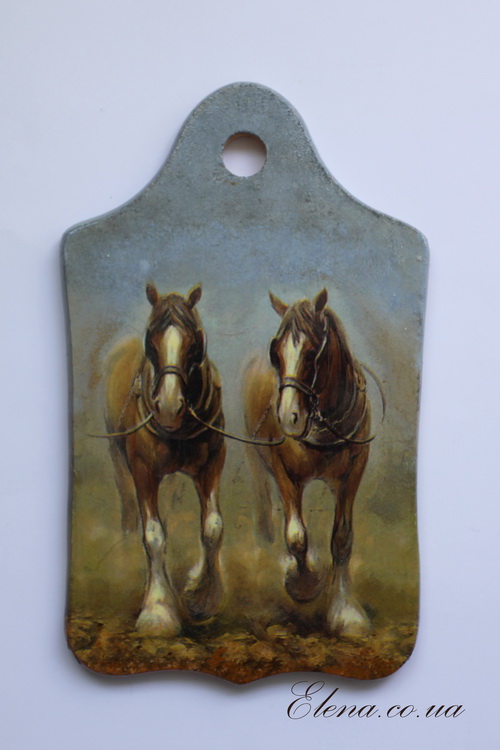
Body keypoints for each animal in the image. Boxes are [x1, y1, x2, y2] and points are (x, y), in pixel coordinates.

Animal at [104, 282, 226, 636]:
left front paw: (201, 596)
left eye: (195, 340)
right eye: (151, 339)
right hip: (119, 460)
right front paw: (158, 610)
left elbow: (212, 527)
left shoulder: (211, 465)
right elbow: (154, 535)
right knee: (132, 513)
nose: (169, 407)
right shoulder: (143, 471)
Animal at [244, 289, 373, 637]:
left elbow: (342, 538)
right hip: (258, 463)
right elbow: (296, 536)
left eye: (313, 351)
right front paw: (303, 583)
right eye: (276, 352)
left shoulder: (353, 472)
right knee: (267, 513)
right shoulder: (286, 474)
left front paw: (345, 609)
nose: (289, 417)